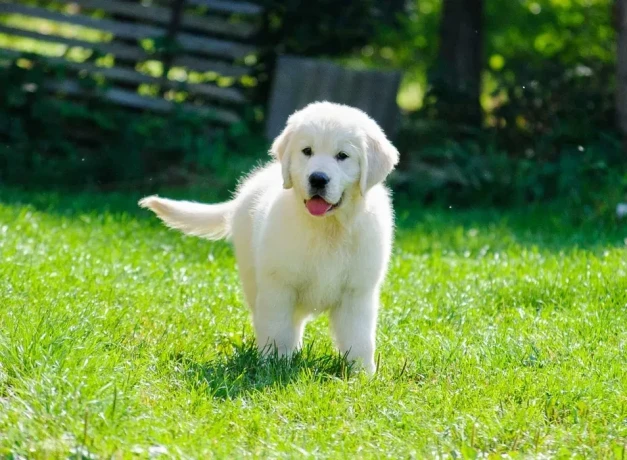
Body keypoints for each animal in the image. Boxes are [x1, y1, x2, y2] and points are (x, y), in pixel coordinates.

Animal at [140, 101, 400, 374]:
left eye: (342, 156)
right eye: (307, 151)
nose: (317, 179)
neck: (327, 228)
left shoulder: (357, 292)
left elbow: (359, 339)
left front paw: (362, 374)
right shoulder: (279, 286)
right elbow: (277, 329)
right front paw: (275, 366)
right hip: (252, 277)